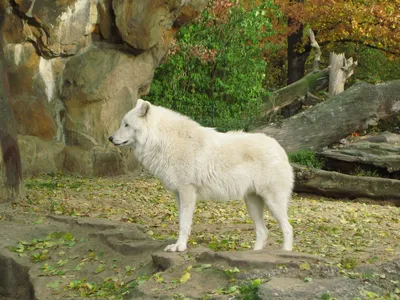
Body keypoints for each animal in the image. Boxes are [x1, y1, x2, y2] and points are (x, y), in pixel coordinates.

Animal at [109, 99, 294, 252]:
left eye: (126, 125)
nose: (110, 138)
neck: (164, 141)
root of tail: (280, 148)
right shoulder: (178, 194)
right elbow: (181, 222)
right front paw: (177, 245)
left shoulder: (187, 192)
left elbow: (184, 224)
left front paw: (180, 247)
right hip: (252, 203)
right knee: (263, 231)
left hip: (273, 202)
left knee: (288, 228)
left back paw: (285, 252)